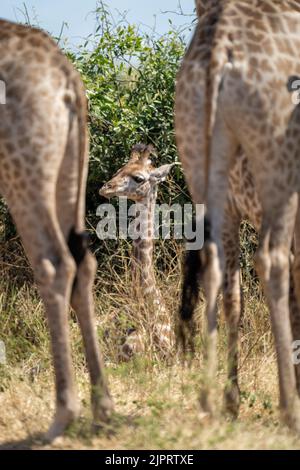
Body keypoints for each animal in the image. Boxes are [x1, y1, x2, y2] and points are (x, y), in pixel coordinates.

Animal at [0, 20, 113, 440]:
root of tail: (67, 79)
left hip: (21, 164)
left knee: (54, 262)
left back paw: (63, 415)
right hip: (69, 163)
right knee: (84, 263)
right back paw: (102, 408)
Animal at [176, 0, 300, 432]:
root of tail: (220, 47)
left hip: (202, 165)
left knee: (219, 272)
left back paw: (216, 400)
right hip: (279, 165)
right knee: (271, 261)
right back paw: (290, 408)